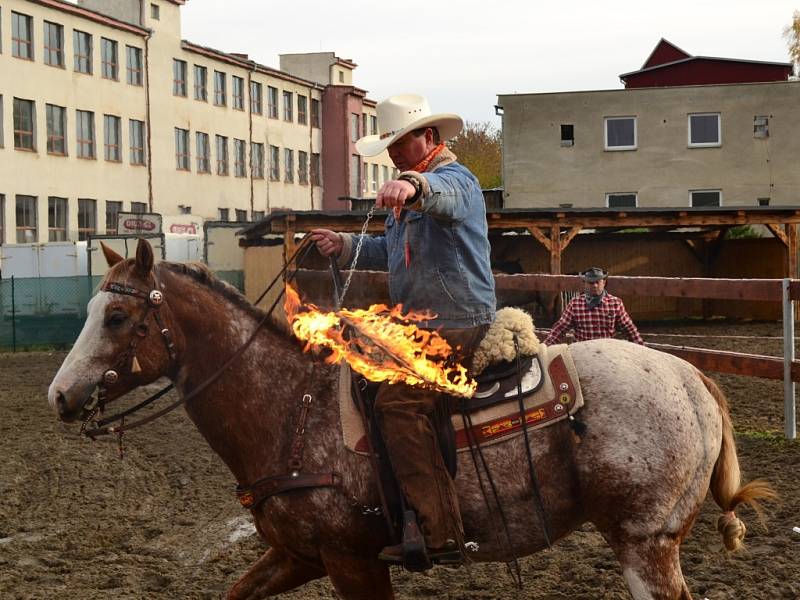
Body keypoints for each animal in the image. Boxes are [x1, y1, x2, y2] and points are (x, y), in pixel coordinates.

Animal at [47, 240, 772, 600]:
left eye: (118, 317)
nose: (59, 395)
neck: (289, 409)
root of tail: (692, 379)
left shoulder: (352, 561)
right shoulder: (297, 555)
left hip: (644, 542)